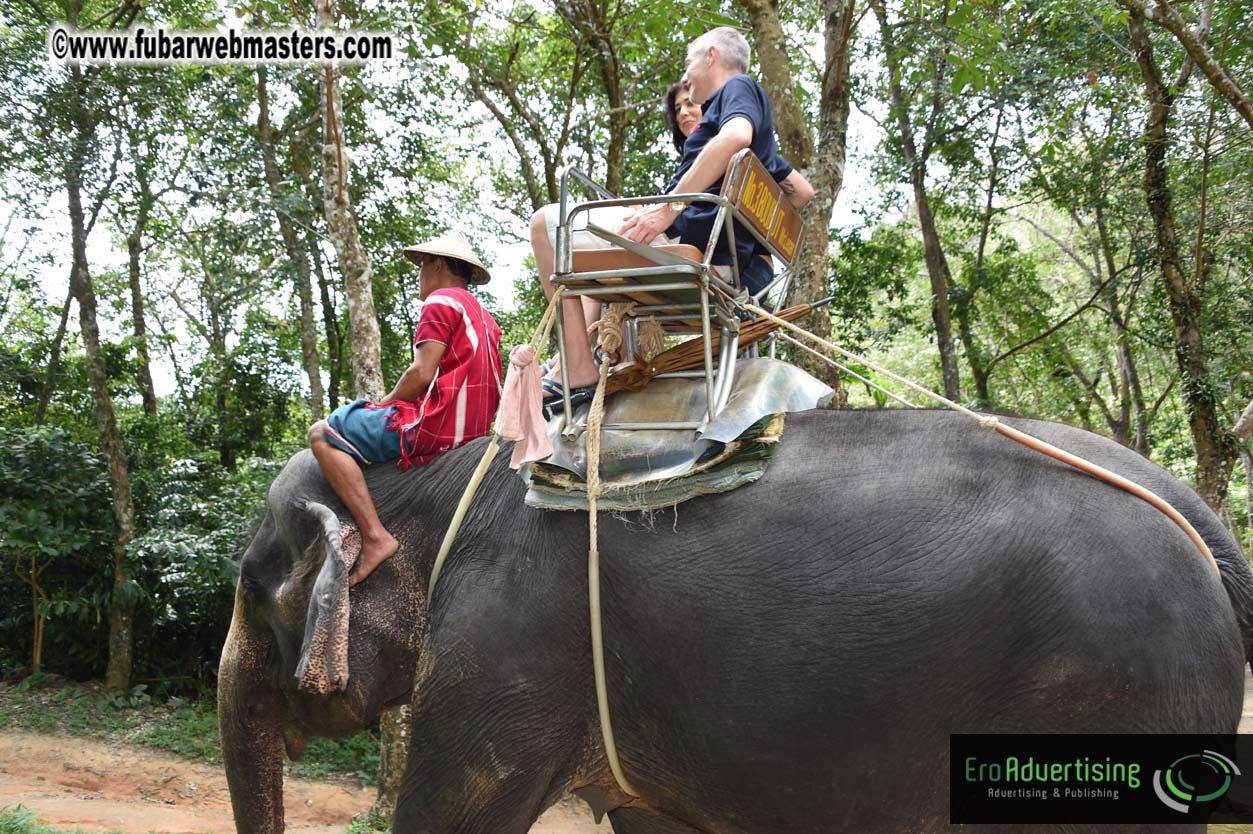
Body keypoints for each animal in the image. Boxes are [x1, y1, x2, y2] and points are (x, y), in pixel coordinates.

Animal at [218, 408, 1253, 834]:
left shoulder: (505, 647)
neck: (446, 475)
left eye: (252, 587)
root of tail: (1195, 513)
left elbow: (453, 812)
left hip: (1122, 697)